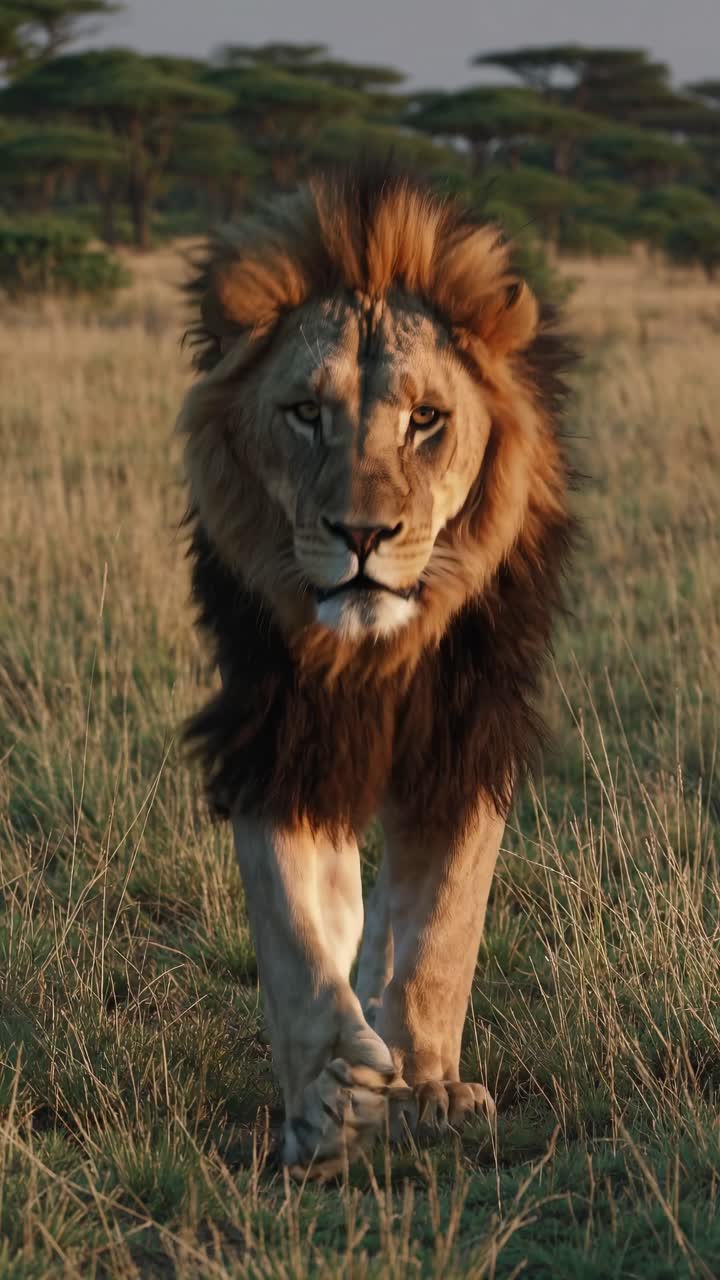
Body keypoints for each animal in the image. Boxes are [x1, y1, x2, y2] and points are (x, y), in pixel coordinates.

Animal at [177, 171, 575, 1178]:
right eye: (306, 413)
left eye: (425, 420)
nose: (362, 536)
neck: (374, 654)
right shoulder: (277, 734)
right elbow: (294, 923)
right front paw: (328, 1099)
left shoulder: (465, 736)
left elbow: (440, 928)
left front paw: (429, 1085)